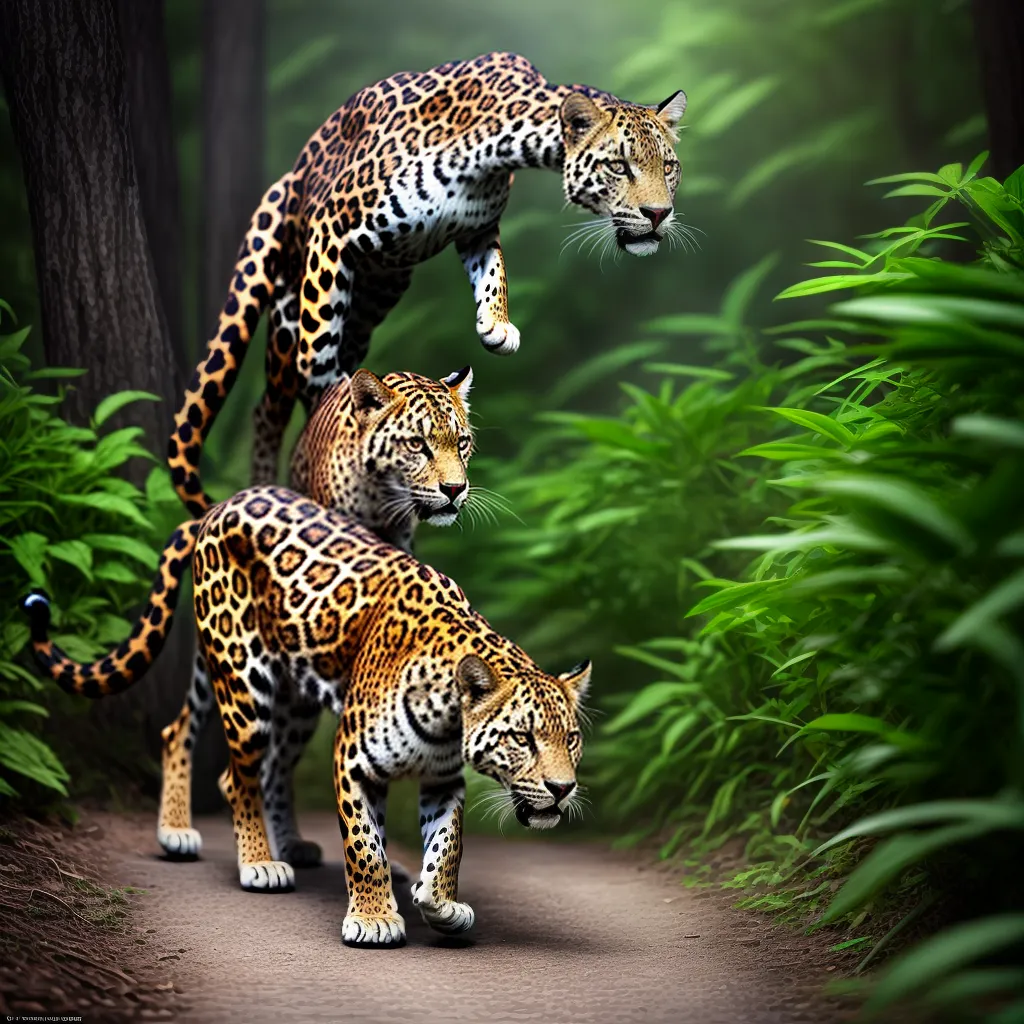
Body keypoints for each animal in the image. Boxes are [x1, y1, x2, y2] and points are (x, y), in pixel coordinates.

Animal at [22, 485, 591, 948]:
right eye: (523, 737)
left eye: (572, 739)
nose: (563, 788)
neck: (448, 713)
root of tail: (218, 506)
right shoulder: (353, 761)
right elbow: (365, 847)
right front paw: (374, 918)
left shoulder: (442, 778)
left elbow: (447, 847)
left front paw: (442, 905)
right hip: (242, 676)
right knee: (237, 776)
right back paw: (254, 860)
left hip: (284, 696)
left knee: (199, 737)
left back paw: (244, 838)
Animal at [157, 364, 475, 867]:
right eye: (417, 444)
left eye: (461, 442)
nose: (454, 489)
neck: (382, 506)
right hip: (232, 657)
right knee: (185, 728)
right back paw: (179, 831)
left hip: (295, 699)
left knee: (271, 762)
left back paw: (288, 843)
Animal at [166, 50, 687, 520]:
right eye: (619, 166)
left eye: (669, 167)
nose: (658, 215)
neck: (496, 149)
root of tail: (289, 176)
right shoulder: (333, 229)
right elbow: (317, 343)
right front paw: (328, 390)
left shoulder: (477, 230)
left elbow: (495, 274)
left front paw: (496, 327)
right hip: (287, 305)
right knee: (269, 406)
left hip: (372, 301)